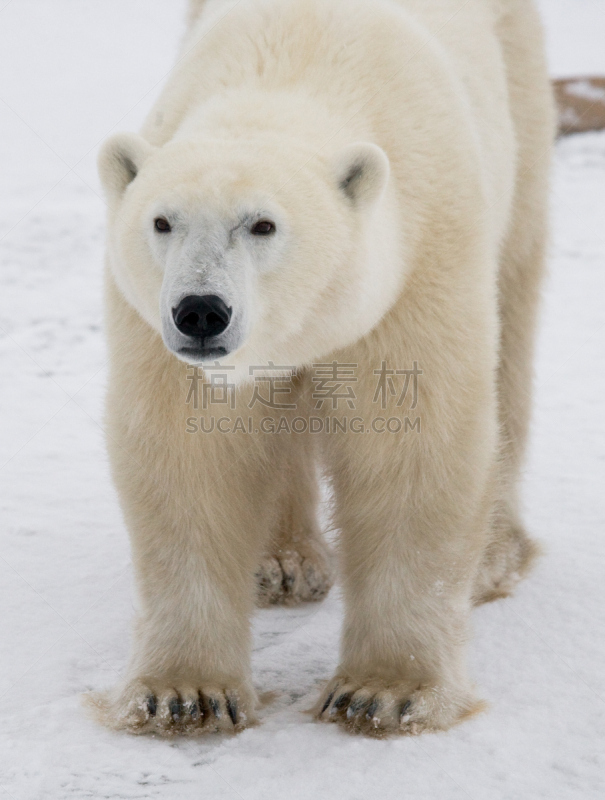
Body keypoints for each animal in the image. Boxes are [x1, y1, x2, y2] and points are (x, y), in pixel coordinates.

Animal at [87, 0, 556, 736]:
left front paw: (384, 692)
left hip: (521, 106)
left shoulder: (416, 262)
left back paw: (493, 556)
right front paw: (184, 692)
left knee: (512, 314)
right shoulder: (155, 332)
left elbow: (409, 446)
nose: (200, 311)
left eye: (263, 225)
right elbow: (189, 458)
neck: (291, 70)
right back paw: (280, 563)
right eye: (162, 222)